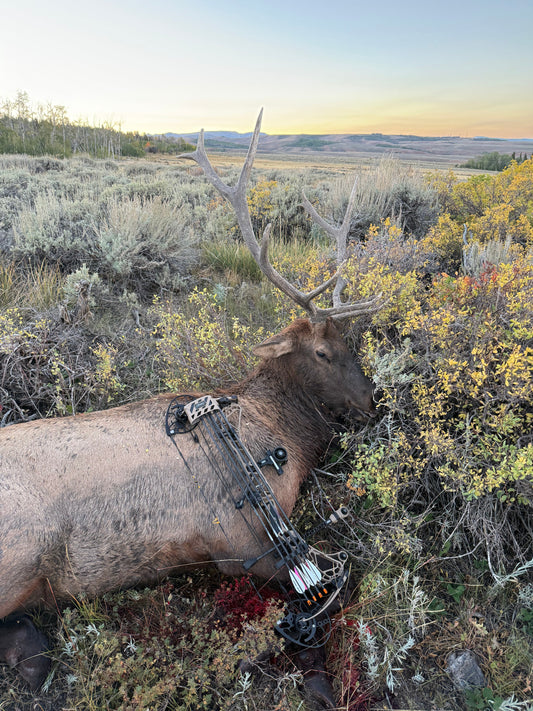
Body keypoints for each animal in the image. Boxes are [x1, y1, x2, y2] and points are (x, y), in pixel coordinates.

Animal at [0, 110, 381, 698]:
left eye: (352, 342)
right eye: (322, 352)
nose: (372, 400)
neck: (287, 437)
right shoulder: (241, 546)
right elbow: (332, 588)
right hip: (21, 550)